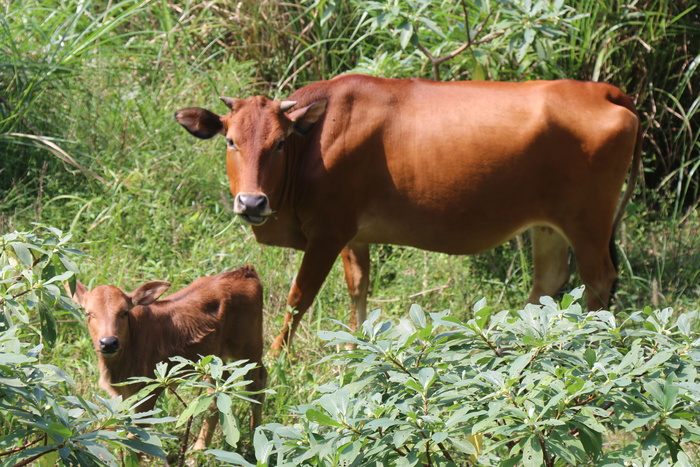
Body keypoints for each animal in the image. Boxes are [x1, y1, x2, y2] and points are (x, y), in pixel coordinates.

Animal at [68, 266, 266, 450]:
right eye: (88, 313)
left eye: (124, 312)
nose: (108, 342)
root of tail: (245, 271)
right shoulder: (125, 395)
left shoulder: (148, 392)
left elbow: (136, 441)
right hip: (216, 358)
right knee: (217, 392)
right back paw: (198, 450)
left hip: (249, 348)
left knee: (257, 383)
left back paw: (256, 437)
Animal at [175, 75, 640, 352]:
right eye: (231, 141)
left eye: (280, 143)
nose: (252, 203)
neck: (317, 141)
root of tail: (603, 90)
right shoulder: (353, 235)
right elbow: (358, 289)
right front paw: (357, 350)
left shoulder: (328, 231)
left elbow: (297, 299)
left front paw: (277, 359)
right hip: (548, 225)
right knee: (549, 279)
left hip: (588, 223)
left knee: (597, 281)